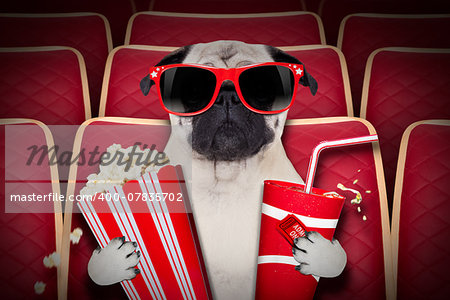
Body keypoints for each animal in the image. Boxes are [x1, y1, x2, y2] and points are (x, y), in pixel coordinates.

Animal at [89, 41, 348, 298]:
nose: (227, 96)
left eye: (260, 88)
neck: (226, 180)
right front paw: (112, 261)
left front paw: (320, 254)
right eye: (194, 90)